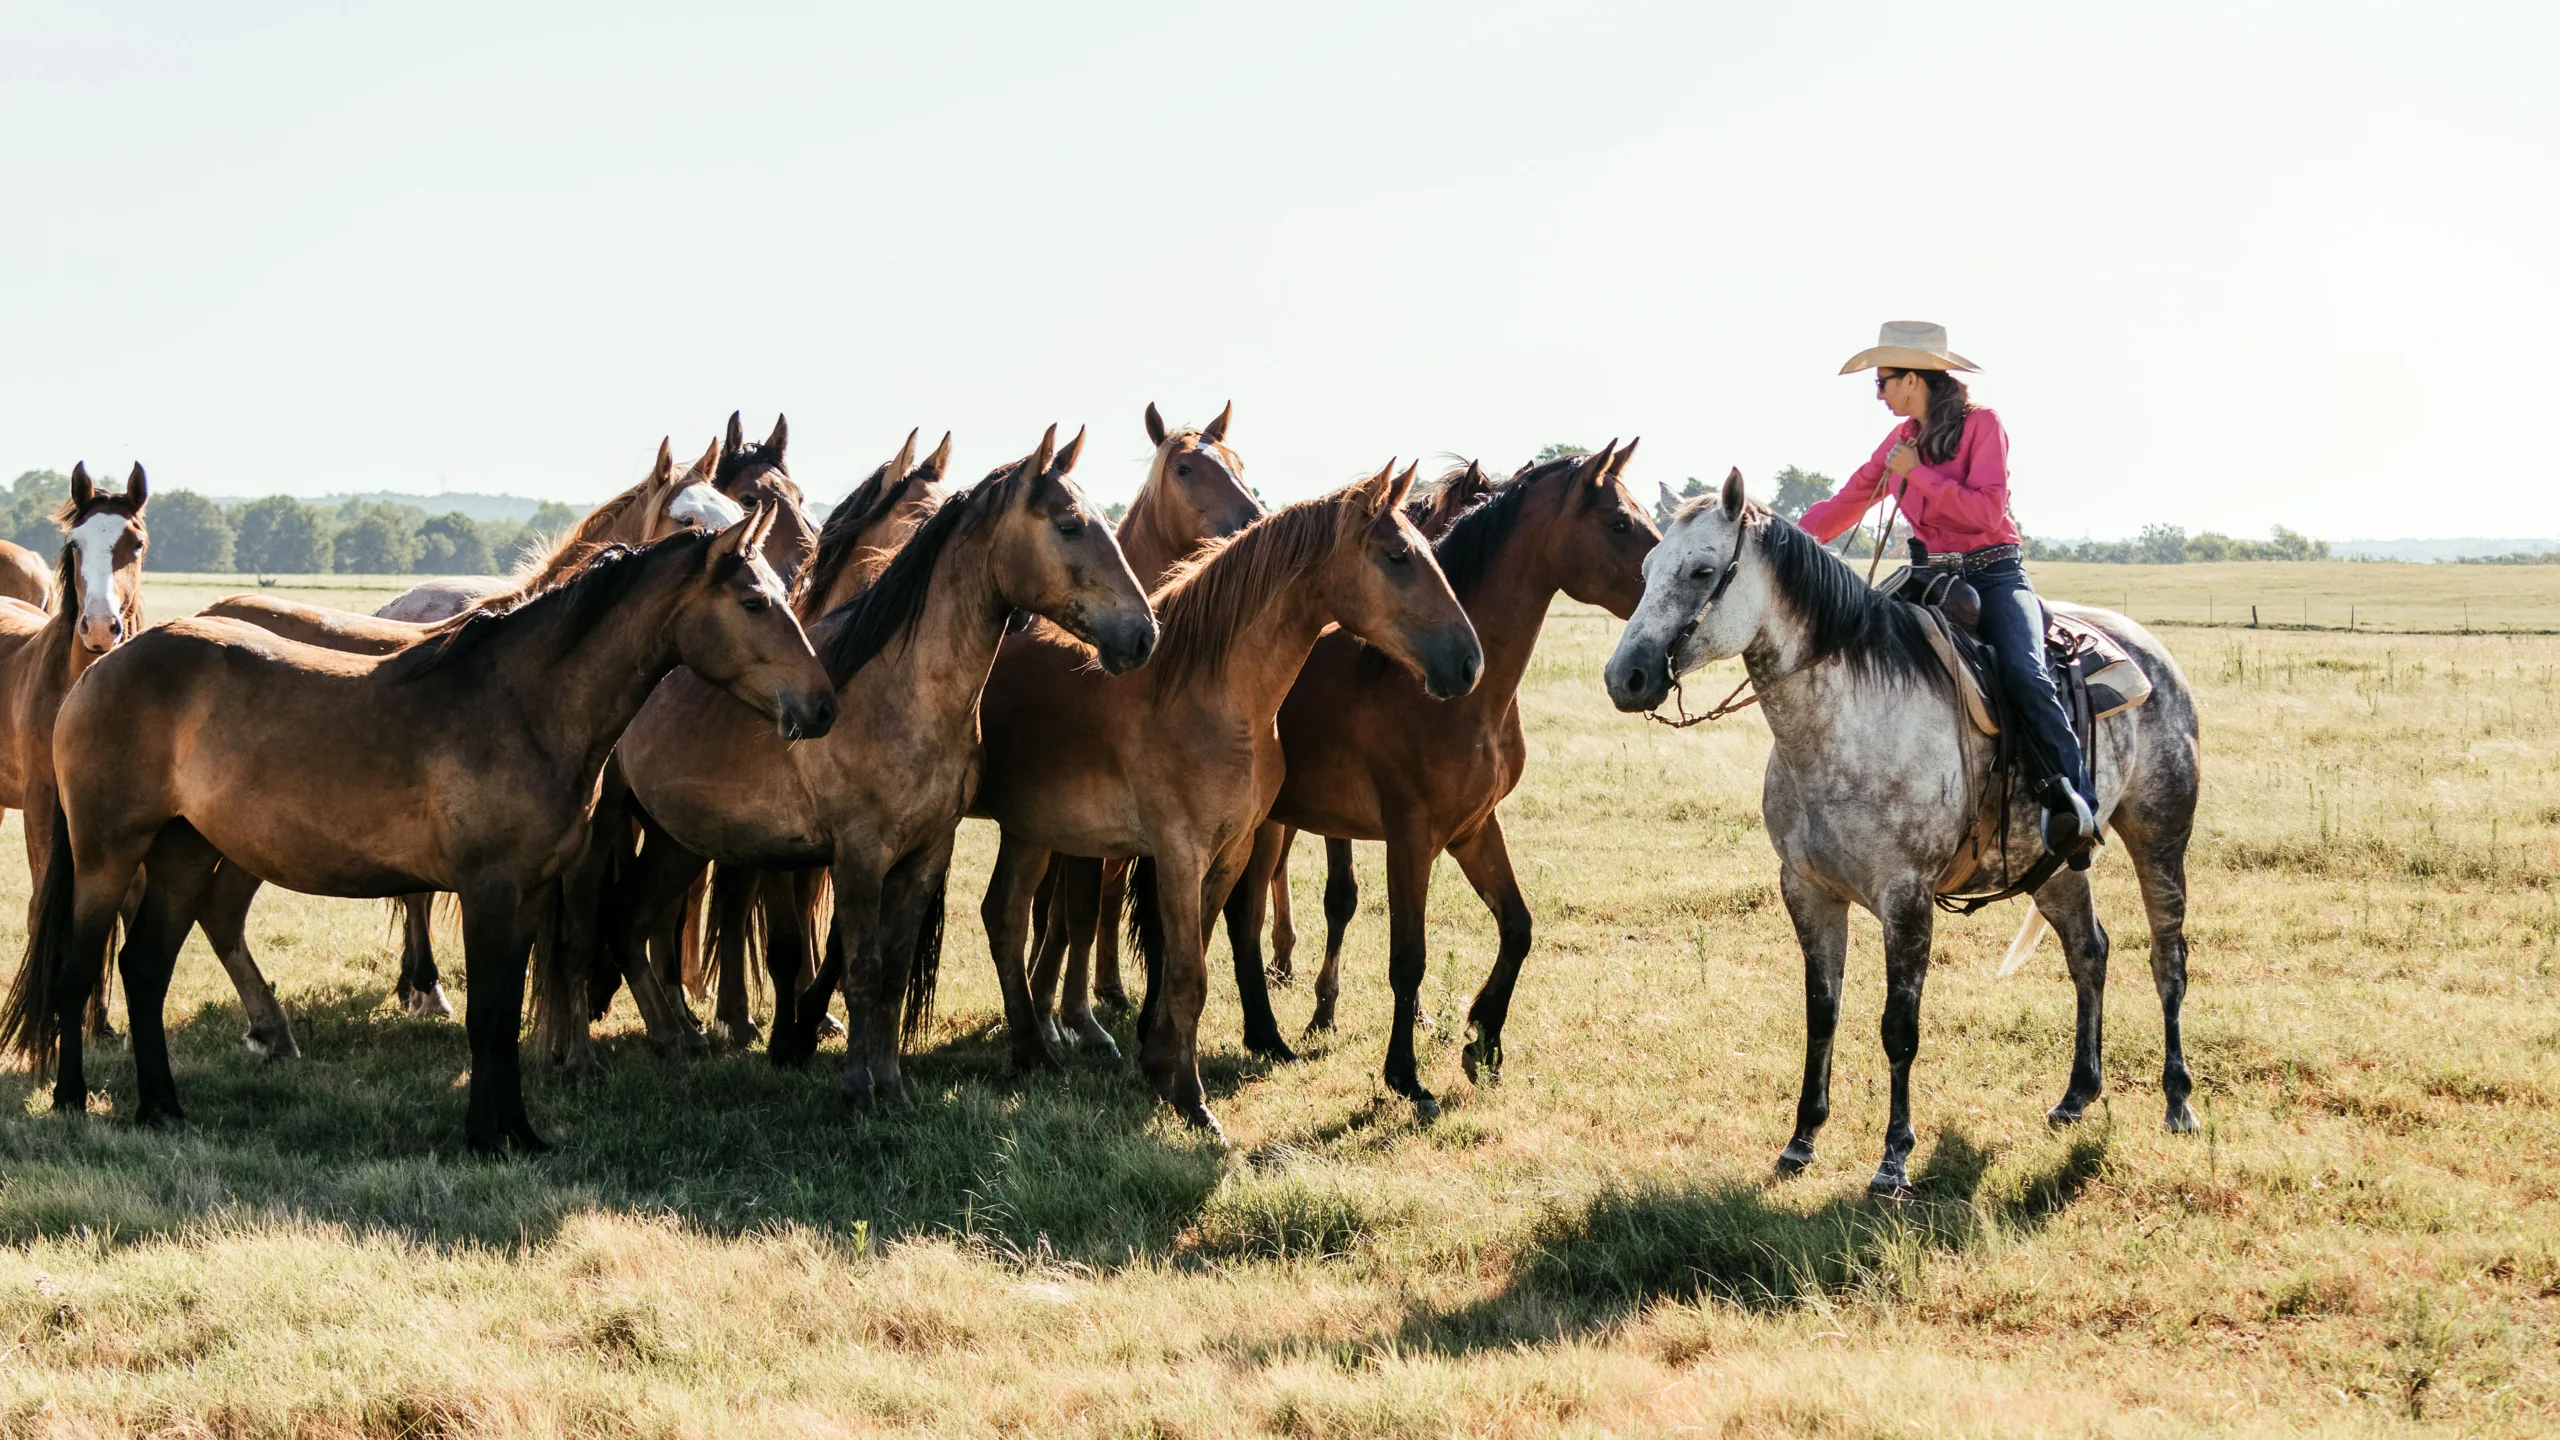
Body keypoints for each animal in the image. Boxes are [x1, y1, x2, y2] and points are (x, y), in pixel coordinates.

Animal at [1, 508, 835, 1153]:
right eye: (754, 602)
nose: (822, 706)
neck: (526, 705)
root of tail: (98, 668)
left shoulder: (529, 892)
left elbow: (503, 1013)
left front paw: (519, 1133)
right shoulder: (489, 888)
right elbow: (488, 1014)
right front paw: (486, 1136)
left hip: (183, 853)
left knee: (143, 970)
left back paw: (164, 1109)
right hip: (108, 855)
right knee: (79, 972)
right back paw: (74, 1101)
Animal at [611, 427, 1155, 1105]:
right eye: (1071, 525)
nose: (1143, 634)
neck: (898, 694)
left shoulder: (926, 853)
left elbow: (892, 971)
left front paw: (892, 1087)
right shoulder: (858, 856)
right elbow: (859, 967)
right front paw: (853, 1089)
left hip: (676, 841)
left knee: (635, 924)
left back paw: (677, 1039)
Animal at [973, 460, 1482, 1132]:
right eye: (1398, 556)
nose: (1469, 662)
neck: (1208, 693)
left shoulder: (1231, 851)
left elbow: (1191, 959)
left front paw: (1161, 1067)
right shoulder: (1178, 853)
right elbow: (1189, 973)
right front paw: (1191, 1100)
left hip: (1030, 832)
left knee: (1004, 917)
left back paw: (1033, 1051)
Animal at [1207, 444, 1658, 1118]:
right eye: (1620, 523)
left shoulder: (1473, 828)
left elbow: (1517, 927)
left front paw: (1484, 1043)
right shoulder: (1410, 837)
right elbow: (1407, 959)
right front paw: (1406, 1077)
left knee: (1243, 916)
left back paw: (1263, 1037)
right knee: (1242, 915)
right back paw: (1262, 1034)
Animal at [1602, 472, 2200, 1196]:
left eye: (1702, 571)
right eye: (1646, 569)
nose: (1624, 677)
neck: (1847, 722)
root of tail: (2150, 651)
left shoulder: (1906, 898)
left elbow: (1899, 1028)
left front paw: (1892, 1160)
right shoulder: (1807, 890)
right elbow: (1822, 1011)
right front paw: (1802, 1140)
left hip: (2161, 838)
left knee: (2167, 959)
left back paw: (2178, 1102)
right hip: (2052, 864)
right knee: (2090, 951)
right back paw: (2076, 1095)